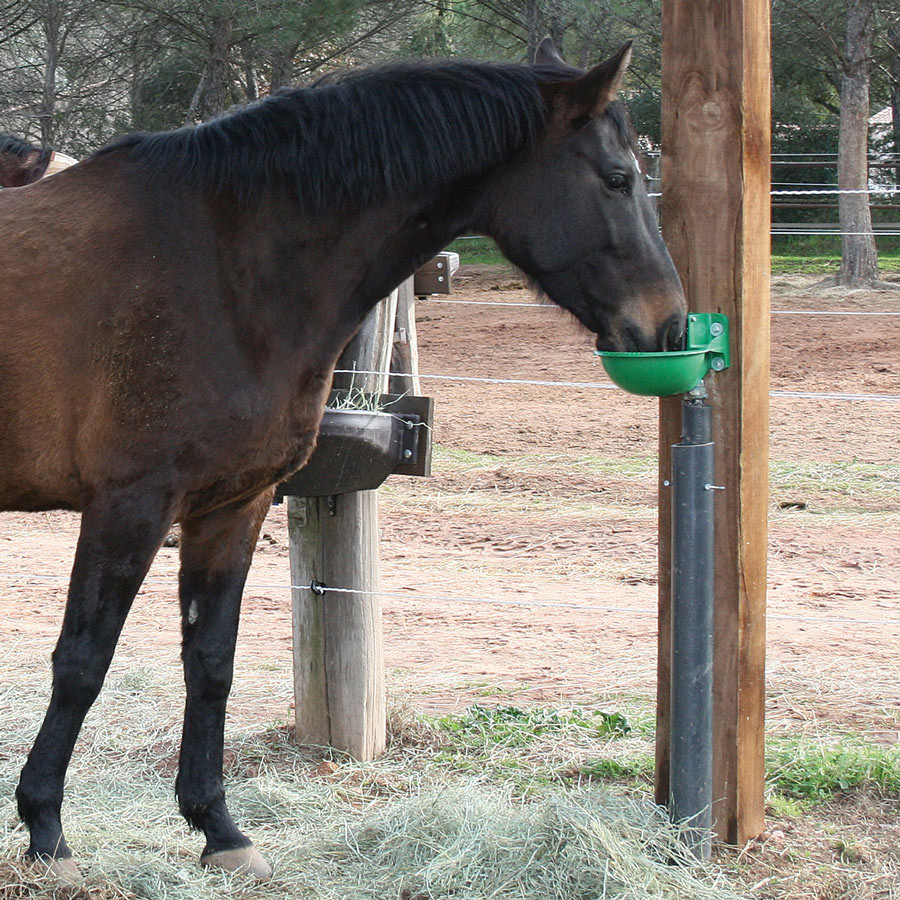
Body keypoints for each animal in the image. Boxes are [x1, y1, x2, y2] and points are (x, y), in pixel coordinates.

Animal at [0, 40, 684, 880]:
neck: (223, 263)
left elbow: (212, 663)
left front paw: (218, 827)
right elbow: (81, 664)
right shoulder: (129, 506)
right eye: (618, 178)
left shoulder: (232, 506)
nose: (670, 325)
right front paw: (46, 830)